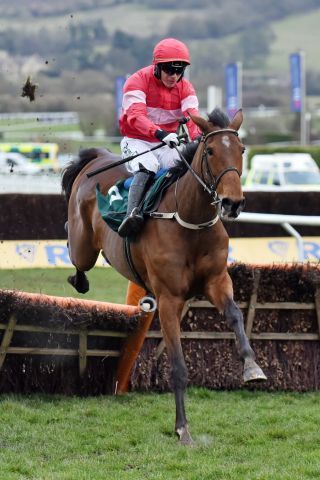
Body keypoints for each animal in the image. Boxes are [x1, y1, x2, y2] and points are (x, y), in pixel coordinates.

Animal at [61, 107, 266, 444]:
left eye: (242, 150)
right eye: (210, 151)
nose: (232, 203)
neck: (189, 221)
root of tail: (96, 157)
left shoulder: (217, 282)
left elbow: (236, 315)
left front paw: (252, 367)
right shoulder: (169, 299)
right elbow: (178, 366)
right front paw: (182, 428)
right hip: (83, 248)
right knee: (76, 256)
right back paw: (78, 277)